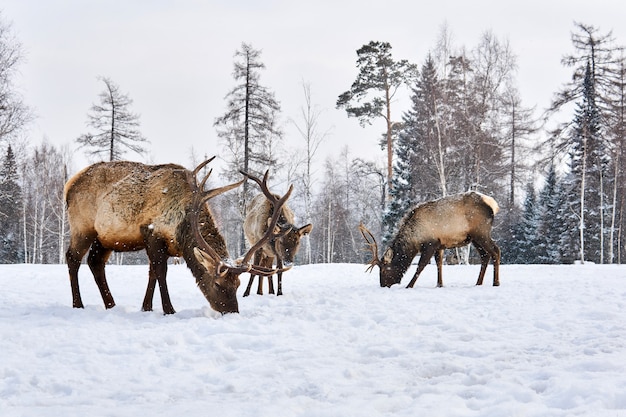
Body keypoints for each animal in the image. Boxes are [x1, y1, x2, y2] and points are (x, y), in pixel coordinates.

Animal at [64, 158, 292, 314]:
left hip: (104, 238)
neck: (182, 230)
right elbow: (160, 272)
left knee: (95, 262)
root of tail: (69, 185)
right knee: (72, 258)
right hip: (82, 227)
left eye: (237, 285)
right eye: (218, 284)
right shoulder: (152, 233)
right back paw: (78, 304)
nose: (231, 312)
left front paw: (146, 307)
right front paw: (168, 309)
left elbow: (152, 274)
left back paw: (111, 304)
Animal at [358, 190, 500, 288]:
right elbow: (439, 263)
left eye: (384, 269)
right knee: (485, 255)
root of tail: (493, 205)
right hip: (474, 238)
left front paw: (409, 285)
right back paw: (478, 283)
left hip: (481, 232)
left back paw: (496, 282)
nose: (383, 285)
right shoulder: (439, 245)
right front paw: (439, 284)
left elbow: (421, 266)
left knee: (496, 251)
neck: (414, 240)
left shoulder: (430, 243)